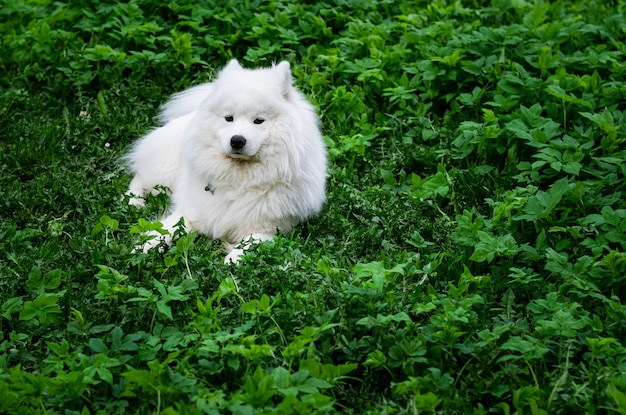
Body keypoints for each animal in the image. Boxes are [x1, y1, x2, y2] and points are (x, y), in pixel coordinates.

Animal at [122, 59, 326, 264]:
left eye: (258, 121)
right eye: (229, 118)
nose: (237, 140)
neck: (238, 178)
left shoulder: (272, 228)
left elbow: (250, 243)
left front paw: (232, 259)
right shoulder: (191, 212)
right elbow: (164, 229)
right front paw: (145, 246)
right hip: (165, 173)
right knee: (139, 177)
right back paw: (134, 201)